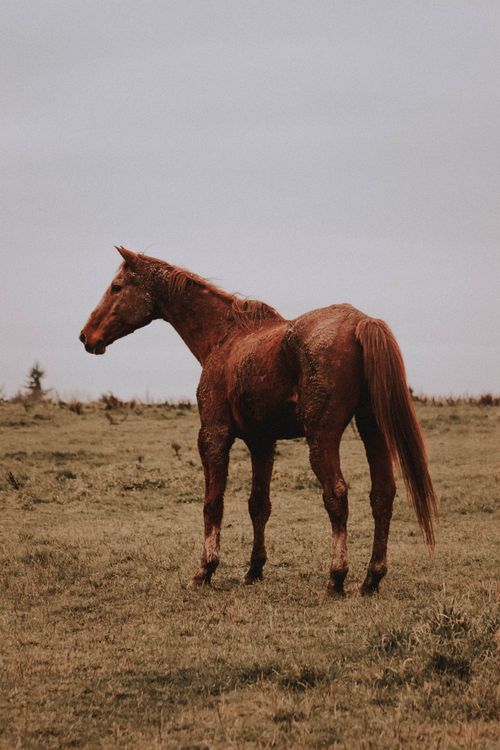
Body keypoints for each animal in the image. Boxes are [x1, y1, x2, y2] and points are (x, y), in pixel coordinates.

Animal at [80, 246, 437, 596]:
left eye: (116, 287)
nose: (86, 336)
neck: (224, 337)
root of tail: (361, 322)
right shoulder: (262, 442)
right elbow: (259, 505)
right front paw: (254, 569)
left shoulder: (213, 436)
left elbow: (213, 503)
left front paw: (204, 570)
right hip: (372, 430)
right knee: (382, 494)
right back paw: (371, 578)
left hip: (322, 437)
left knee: (336, 495)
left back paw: (336, 578)